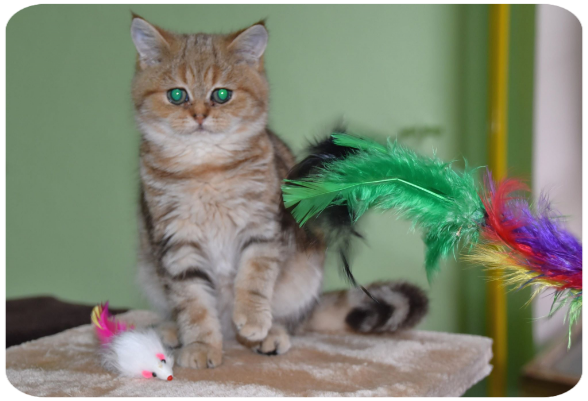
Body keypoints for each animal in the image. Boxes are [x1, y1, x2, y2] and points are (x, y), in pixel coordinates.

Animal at [130, 15, 428, 369]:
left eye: (221, 94)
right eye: (177, 95)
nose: (200, 115)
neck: (206, 171)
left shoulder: (262, 229)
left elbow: (254, 279)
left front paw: (253, 319)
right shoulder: (177, 242)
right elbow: (194, 304)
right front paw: (201, 345)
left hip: (304, 279)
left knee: (292, 321)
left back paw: (269, 334)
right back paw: (173, 331)